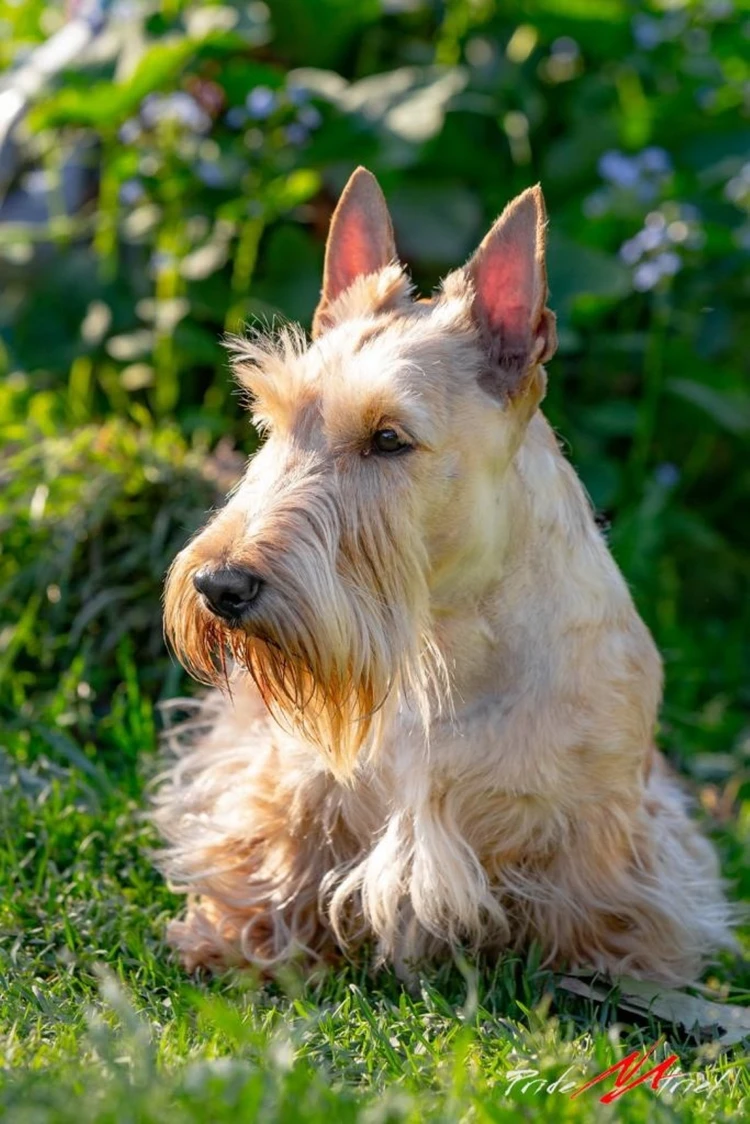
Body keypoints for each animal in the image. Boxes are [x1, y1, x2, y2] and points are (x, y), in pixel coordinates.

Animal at [155, 166, 737, 984]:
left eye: (388, 439)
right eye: (272, 420)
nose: (219, 587)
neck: (441, 640)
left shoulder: (603, 822)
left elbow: (601, 907)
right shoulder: (291, 781)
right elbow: (279, 857)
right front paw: (240, 938)